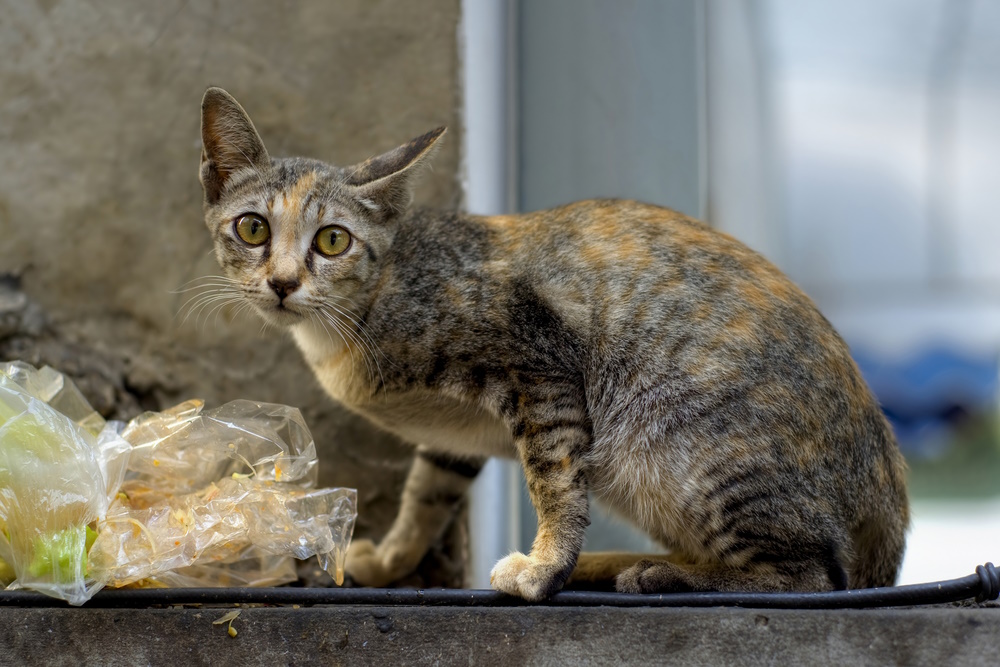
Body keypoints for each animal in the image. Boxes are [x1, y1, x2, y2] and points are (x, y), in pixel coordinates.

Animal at [199, 85, 912, 600]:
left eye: (332, 240)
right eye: (253, 227)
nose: (283, 282)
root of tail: (889, 491)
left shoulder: (539, 364)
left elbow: (554, 480)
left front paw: (545, 570)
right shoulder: (454, 438)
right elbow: (428, 490)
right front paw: (395, 557)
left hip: (690, 451)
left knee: (814, 575)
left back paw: (660, 572)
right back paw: (616, 562)